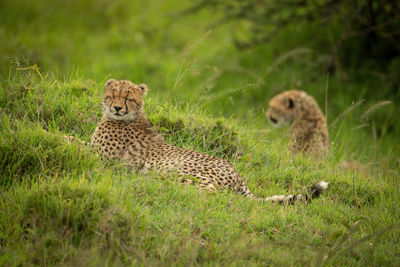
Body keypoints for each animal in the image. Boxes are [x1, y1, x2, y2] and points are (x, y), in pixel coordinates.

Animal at [88, 80, 328, 204]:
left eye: (128, 98)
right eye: (112, 95)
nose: (117, 108)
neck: (132, 116)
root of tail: (238, 176)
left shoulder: (101, 157)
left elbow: (79, 144)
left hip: (183, 172)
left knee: (208, 194)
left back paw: (152, 182)